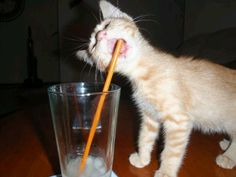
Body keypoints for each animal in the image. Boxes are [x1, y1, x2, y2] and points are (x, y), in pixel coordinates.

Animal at [77, 0, 236, 177]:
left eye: (107, 25)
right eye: (93, 45)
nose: (100, 35)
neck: (143, 74)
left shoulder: (178, 120)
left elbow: (170, 152)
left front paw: (166, 172)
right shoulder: (149, 116)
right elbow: (144, 137)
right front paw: (142, 158)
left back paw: (228, 157)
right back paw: (226, 145)